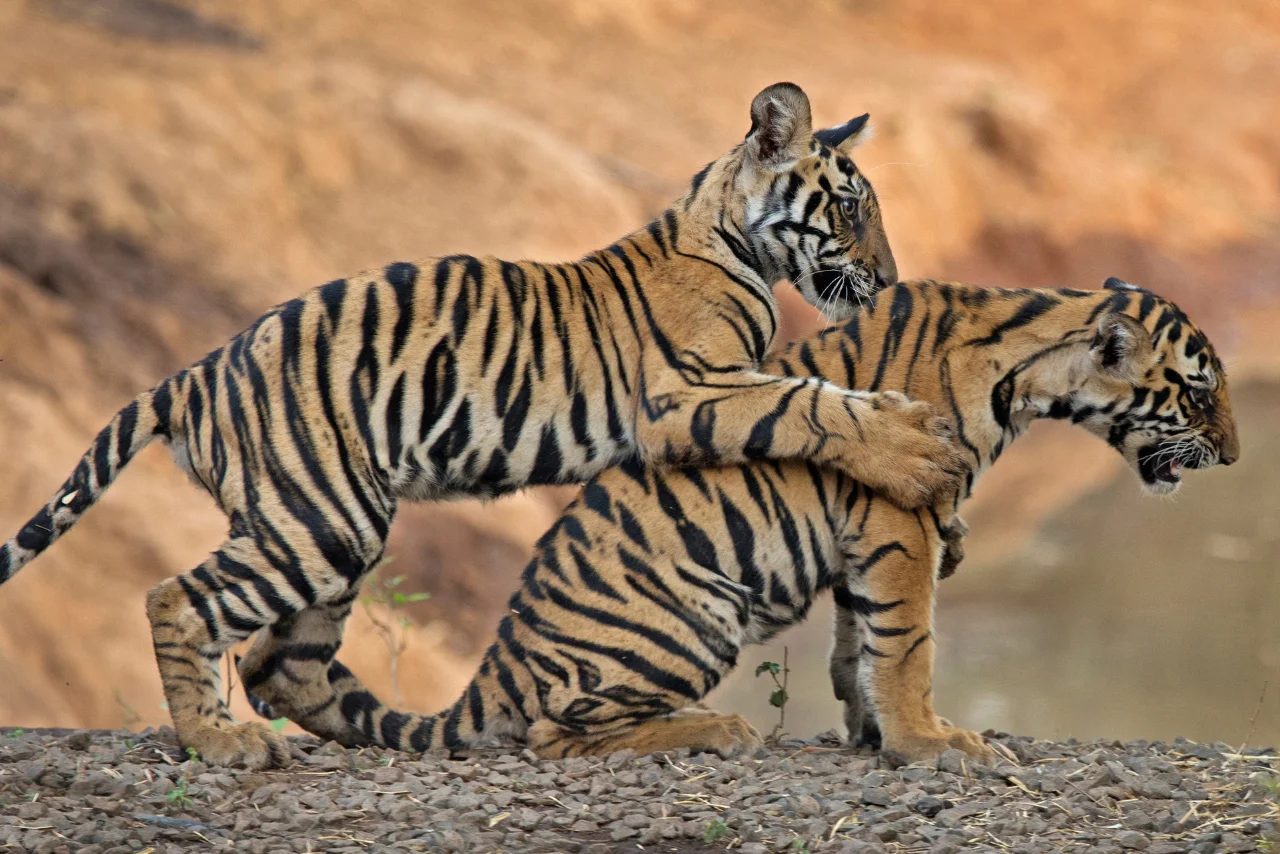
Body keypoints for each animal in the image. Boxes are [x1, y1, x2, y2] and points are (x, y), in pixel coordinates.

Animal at [0, 82, 969, 769]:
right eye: (851, 209)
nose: (888, 280)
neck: (731, 237)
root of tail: (199, 369)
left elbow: (814, 395)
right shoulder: (691, 392)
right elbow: (812, 402)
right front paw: (916, 449)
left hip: (330, 533)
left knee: (282, 657)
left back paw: (373, 728)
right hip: (320, 521)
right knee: (181, 600)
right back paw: (220, 741)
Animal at [244, 277, 1239, 765]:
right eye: (1197, 393)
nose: (1233, 458)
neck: (1026, 378)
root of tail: (495, 670)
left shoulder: (870, 540)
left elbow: (859, 645)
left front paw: (874, 735)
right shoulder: (900, 520)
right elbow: (907, 643)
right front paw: (930, 745)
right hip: (691, 617)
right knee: (552, 733)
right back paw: (713, 730)